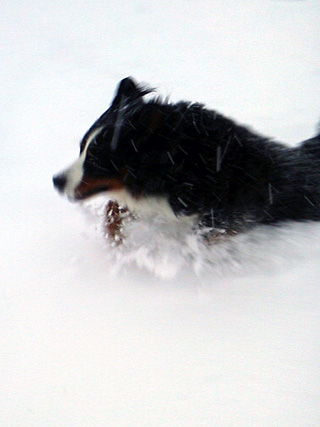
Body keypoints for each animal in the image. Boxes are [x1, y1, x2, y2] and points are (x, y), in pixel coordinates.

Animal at [52, 77, 320, 241]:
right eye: (81, 148)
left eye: (97, 158)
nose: (56, 180)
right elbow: (114, 207)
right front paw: (114, 237)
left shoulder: (224, 220)